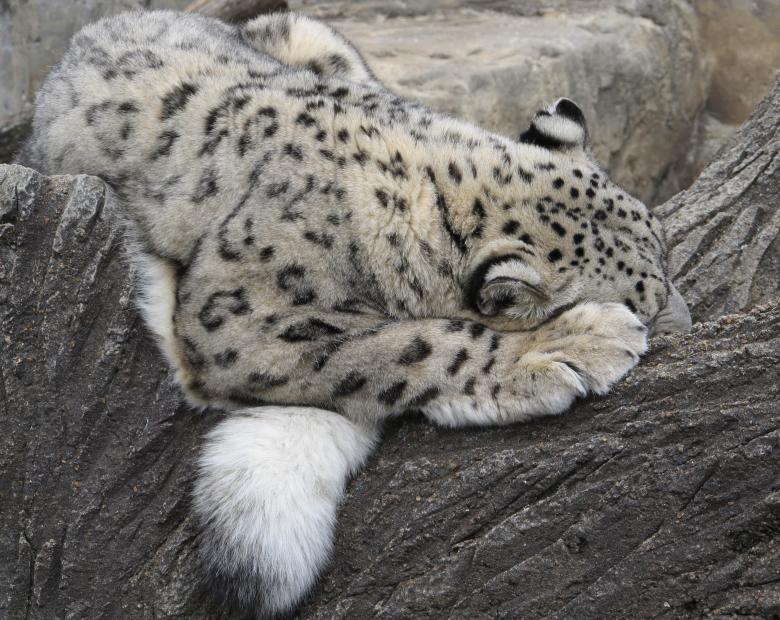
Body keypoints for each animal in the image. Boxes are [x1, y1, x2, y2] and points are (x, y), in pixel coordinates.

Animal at [19, 9, 693, 618]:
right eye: (641, 302)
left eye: (663, 247)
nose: (684, 320)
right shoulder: (237, 324)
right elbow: (407, 346)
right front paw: (573, 344)